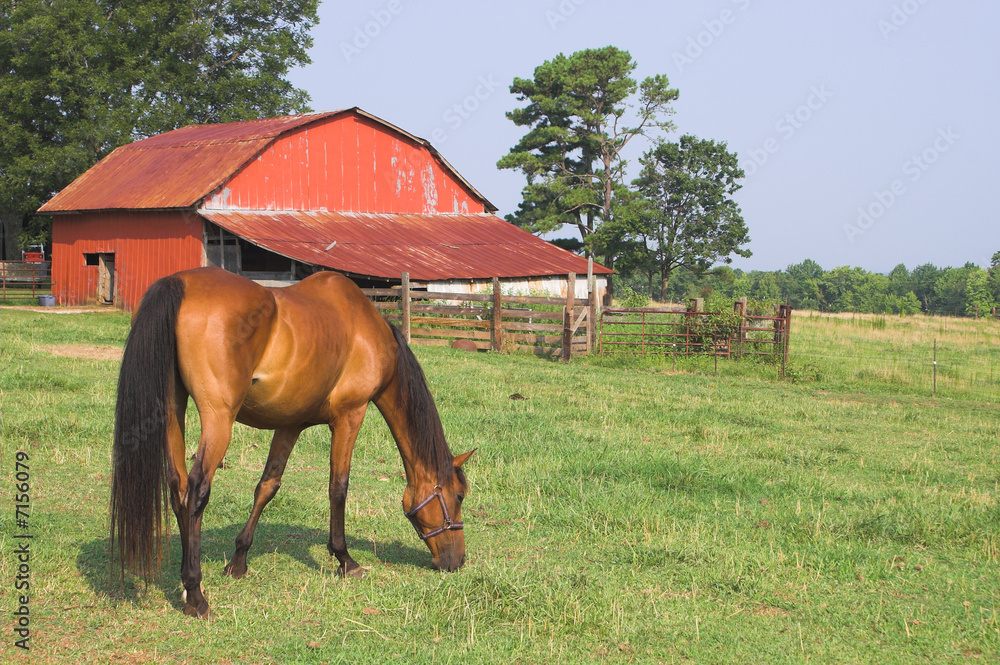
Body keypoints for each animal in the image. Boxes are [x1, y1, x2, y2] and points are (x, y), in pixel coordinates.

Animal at [109, 267, 474, 617]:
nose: (457, 561)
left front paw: (238, 561)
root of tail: (179, 282)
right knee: (197, 491)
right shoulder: (350, 415)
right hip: (218, 418)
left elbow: (267, 486)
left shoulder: (290, 425)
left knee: (178, 487)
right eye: (458, 496)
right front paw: (345, 560)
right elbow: (338, 487)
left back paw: (187, 588)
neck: (367, 330)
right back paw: (196, 594)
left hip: (172, 410)